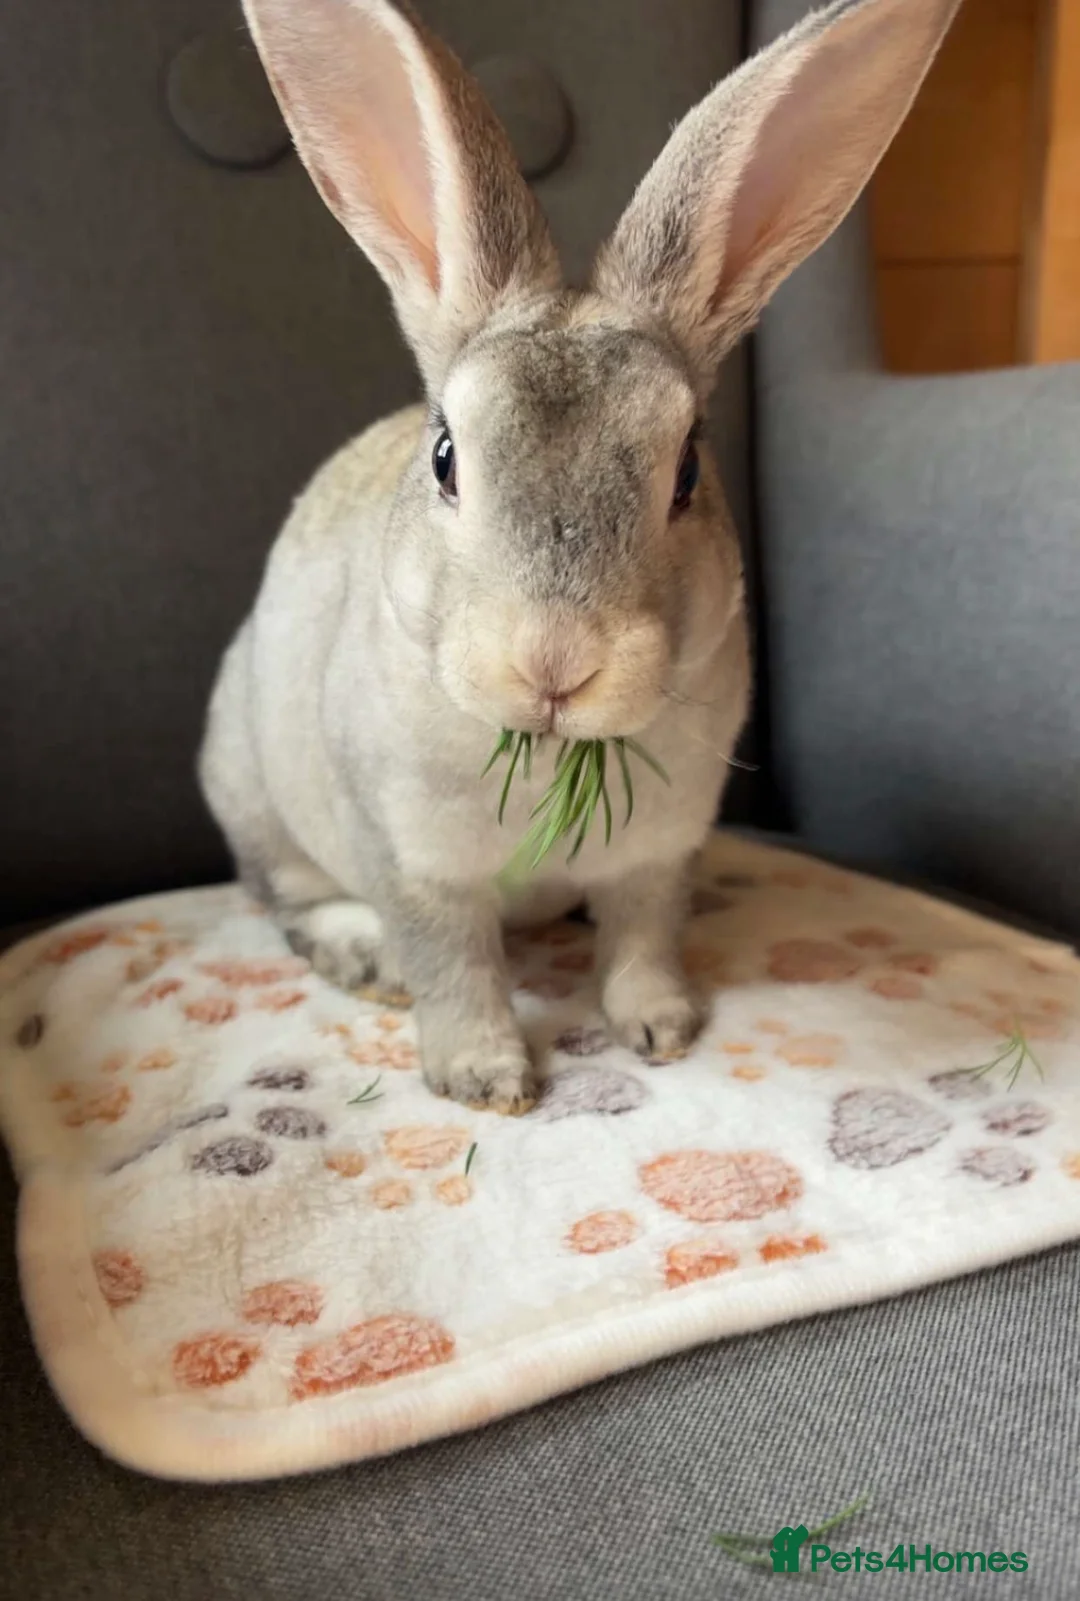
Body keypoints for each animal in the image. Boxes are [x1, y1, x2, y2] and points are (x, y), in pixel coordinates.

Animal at [200, 0, 960, 1112]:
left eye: (686, 469)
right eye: (445, 457)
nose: (554, 663)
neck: (552, 753)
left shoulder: (659, 854)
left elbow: (642, 938)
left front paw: (662, 1028)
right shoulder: (416, 861)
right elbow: (454, 965)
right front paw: (486, 1081)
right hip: (251, 786)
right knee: (287, 894)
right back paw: (361, 952)